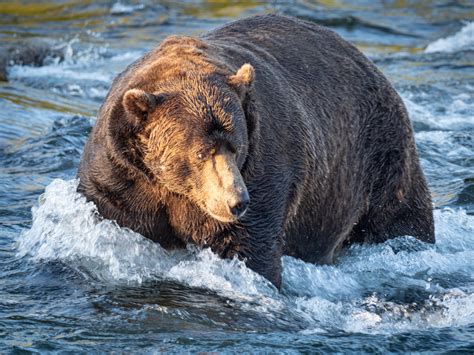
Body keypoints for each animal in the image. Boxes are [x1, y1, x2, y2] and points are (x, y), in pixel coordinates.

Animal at [77, 13, 434, 290]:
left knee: (399, 220)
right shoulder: (122, 176)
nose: (237, 201)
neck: (173, 189)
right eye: (200, 152)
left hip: (381, 157)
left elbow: (249, 246)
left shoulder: (265, 165)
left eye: (236, 146)